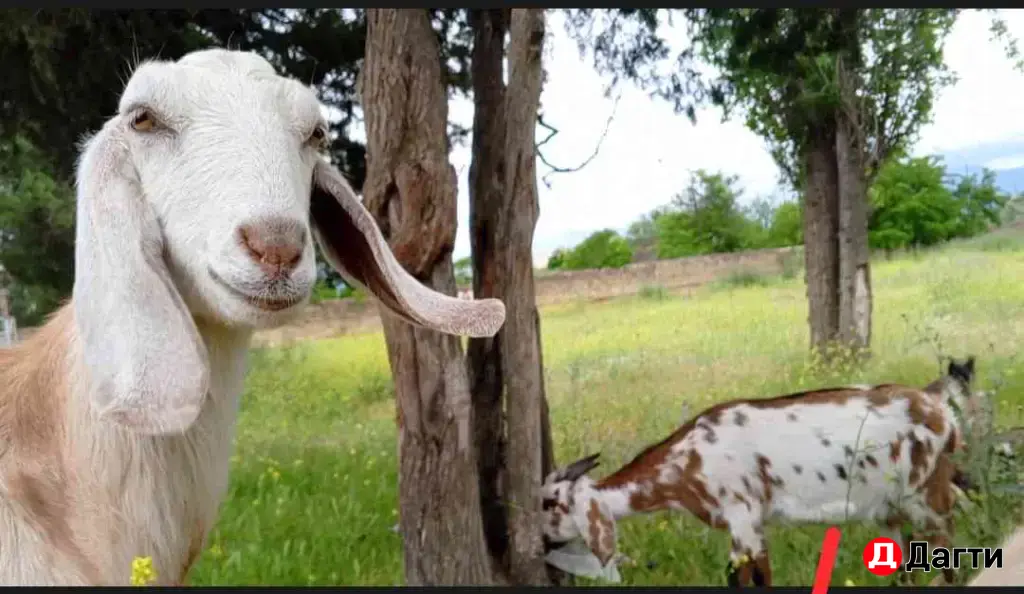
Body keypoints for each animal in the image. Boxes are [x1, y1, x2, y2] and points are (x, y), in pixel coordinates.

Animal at [541, 358, 980, 587]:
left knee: (947, 552)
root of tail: (935, 404)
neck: (686, 460)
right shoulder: (754, 526)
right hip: (892, 506)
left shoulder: (742, 517)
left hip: (925, 494)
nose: (541, 541)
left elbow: (745, 580)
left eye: (549, 503)